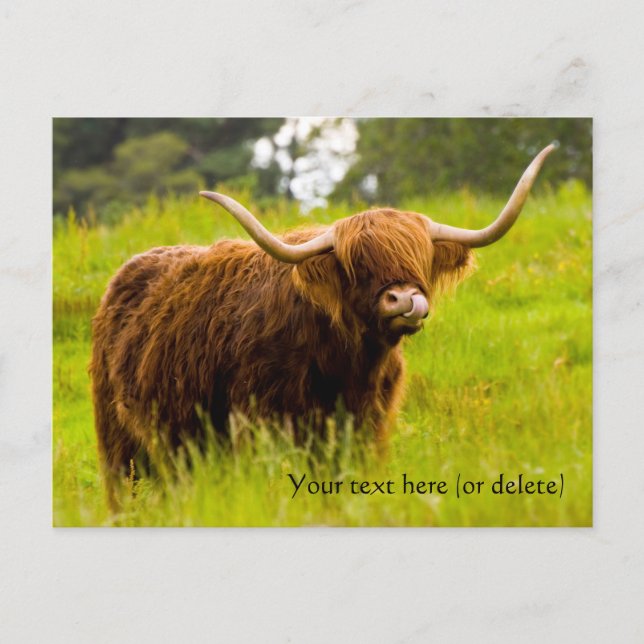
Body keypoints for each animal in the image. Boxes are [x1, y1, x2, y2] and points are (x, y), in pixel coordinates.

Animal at [90, 144, 556, 507]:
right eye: (357, 264)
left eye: (419, 258)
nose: (405, 298)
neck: (347, 361)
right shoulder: (260, 423)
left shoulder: (367, 425)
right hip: (120, 445)